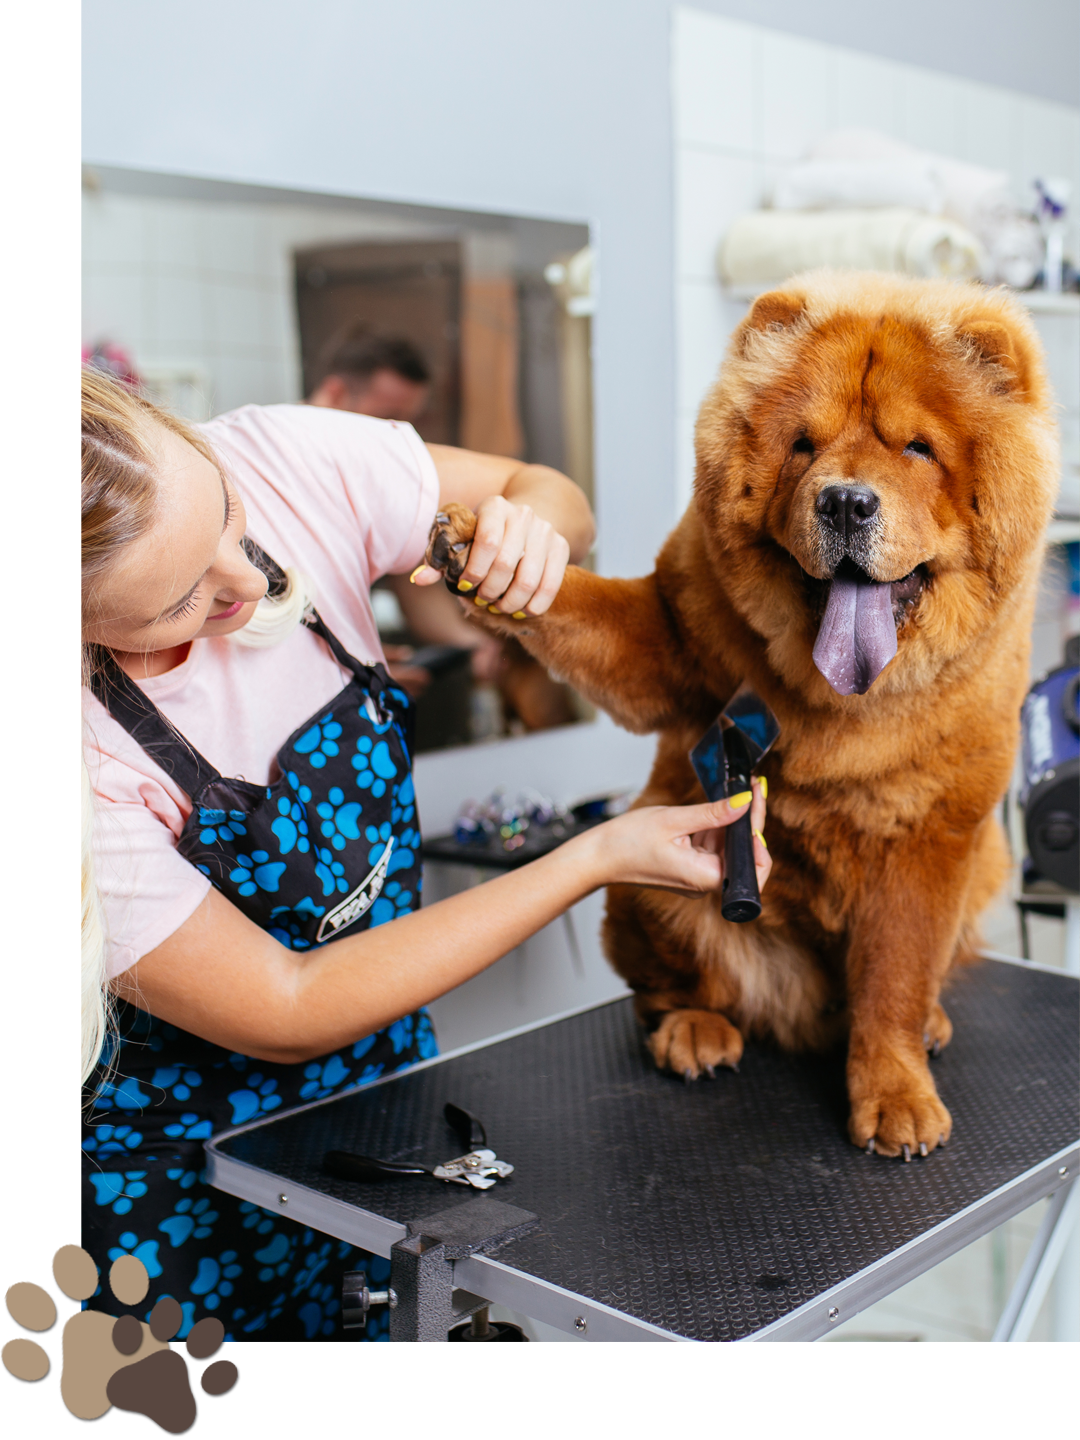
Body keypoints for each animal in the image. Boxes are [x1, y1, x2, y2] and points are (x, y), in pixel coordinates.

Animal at [429, 270, 1059, 1157]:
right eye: (804, 445)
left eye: (916, 448)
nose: (845, 503)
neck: (847, 698)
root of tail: (808, 1012)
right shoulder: (669, 632)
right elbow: (584, 607)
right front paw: (487, 551)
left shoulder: (930, 837)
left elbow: (896, 974)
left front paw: (896, 1093)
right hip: (645, 890)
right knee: (672, 988)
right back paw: (695, 1032)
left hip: (986, 867)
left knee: (912, 979)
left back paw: (927, 1025)